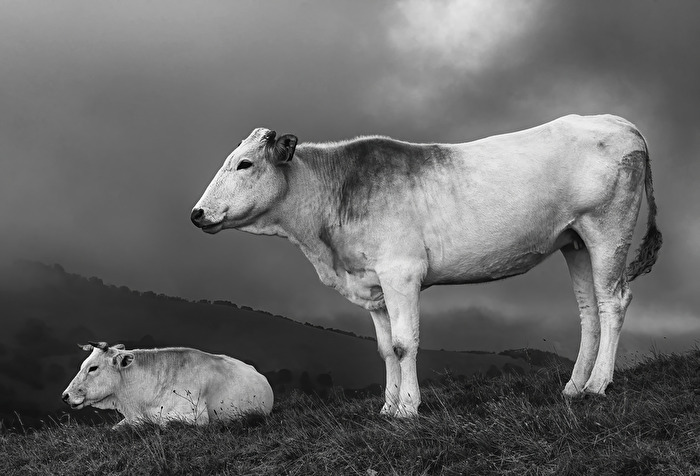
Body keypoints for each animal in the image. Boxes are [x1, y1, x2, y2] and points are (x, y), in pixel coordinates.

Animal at [191, 114, 661, 417]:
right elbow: (385, 349)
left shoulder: (401, 271)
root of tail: (620, 122)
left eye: (245, 163)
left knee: (613, 301)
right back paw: (574, 387)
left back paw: (598, 386)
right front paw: (387, 406)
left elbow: (404, 344)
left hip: (607, 227)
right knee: (588, 311)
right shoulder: (373, 283)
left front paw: (408, 409)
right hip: (575, 242)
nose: (197, 213)